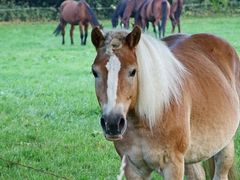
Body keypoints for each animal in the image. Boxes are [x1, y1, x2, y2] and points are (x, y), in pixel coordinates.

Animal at [91, 26, 239, 179]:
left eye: (133, 71)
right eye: (94, 72)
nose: (112, 123)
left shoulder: (173, 165)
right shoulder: (132, 167)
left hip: (226, 145)